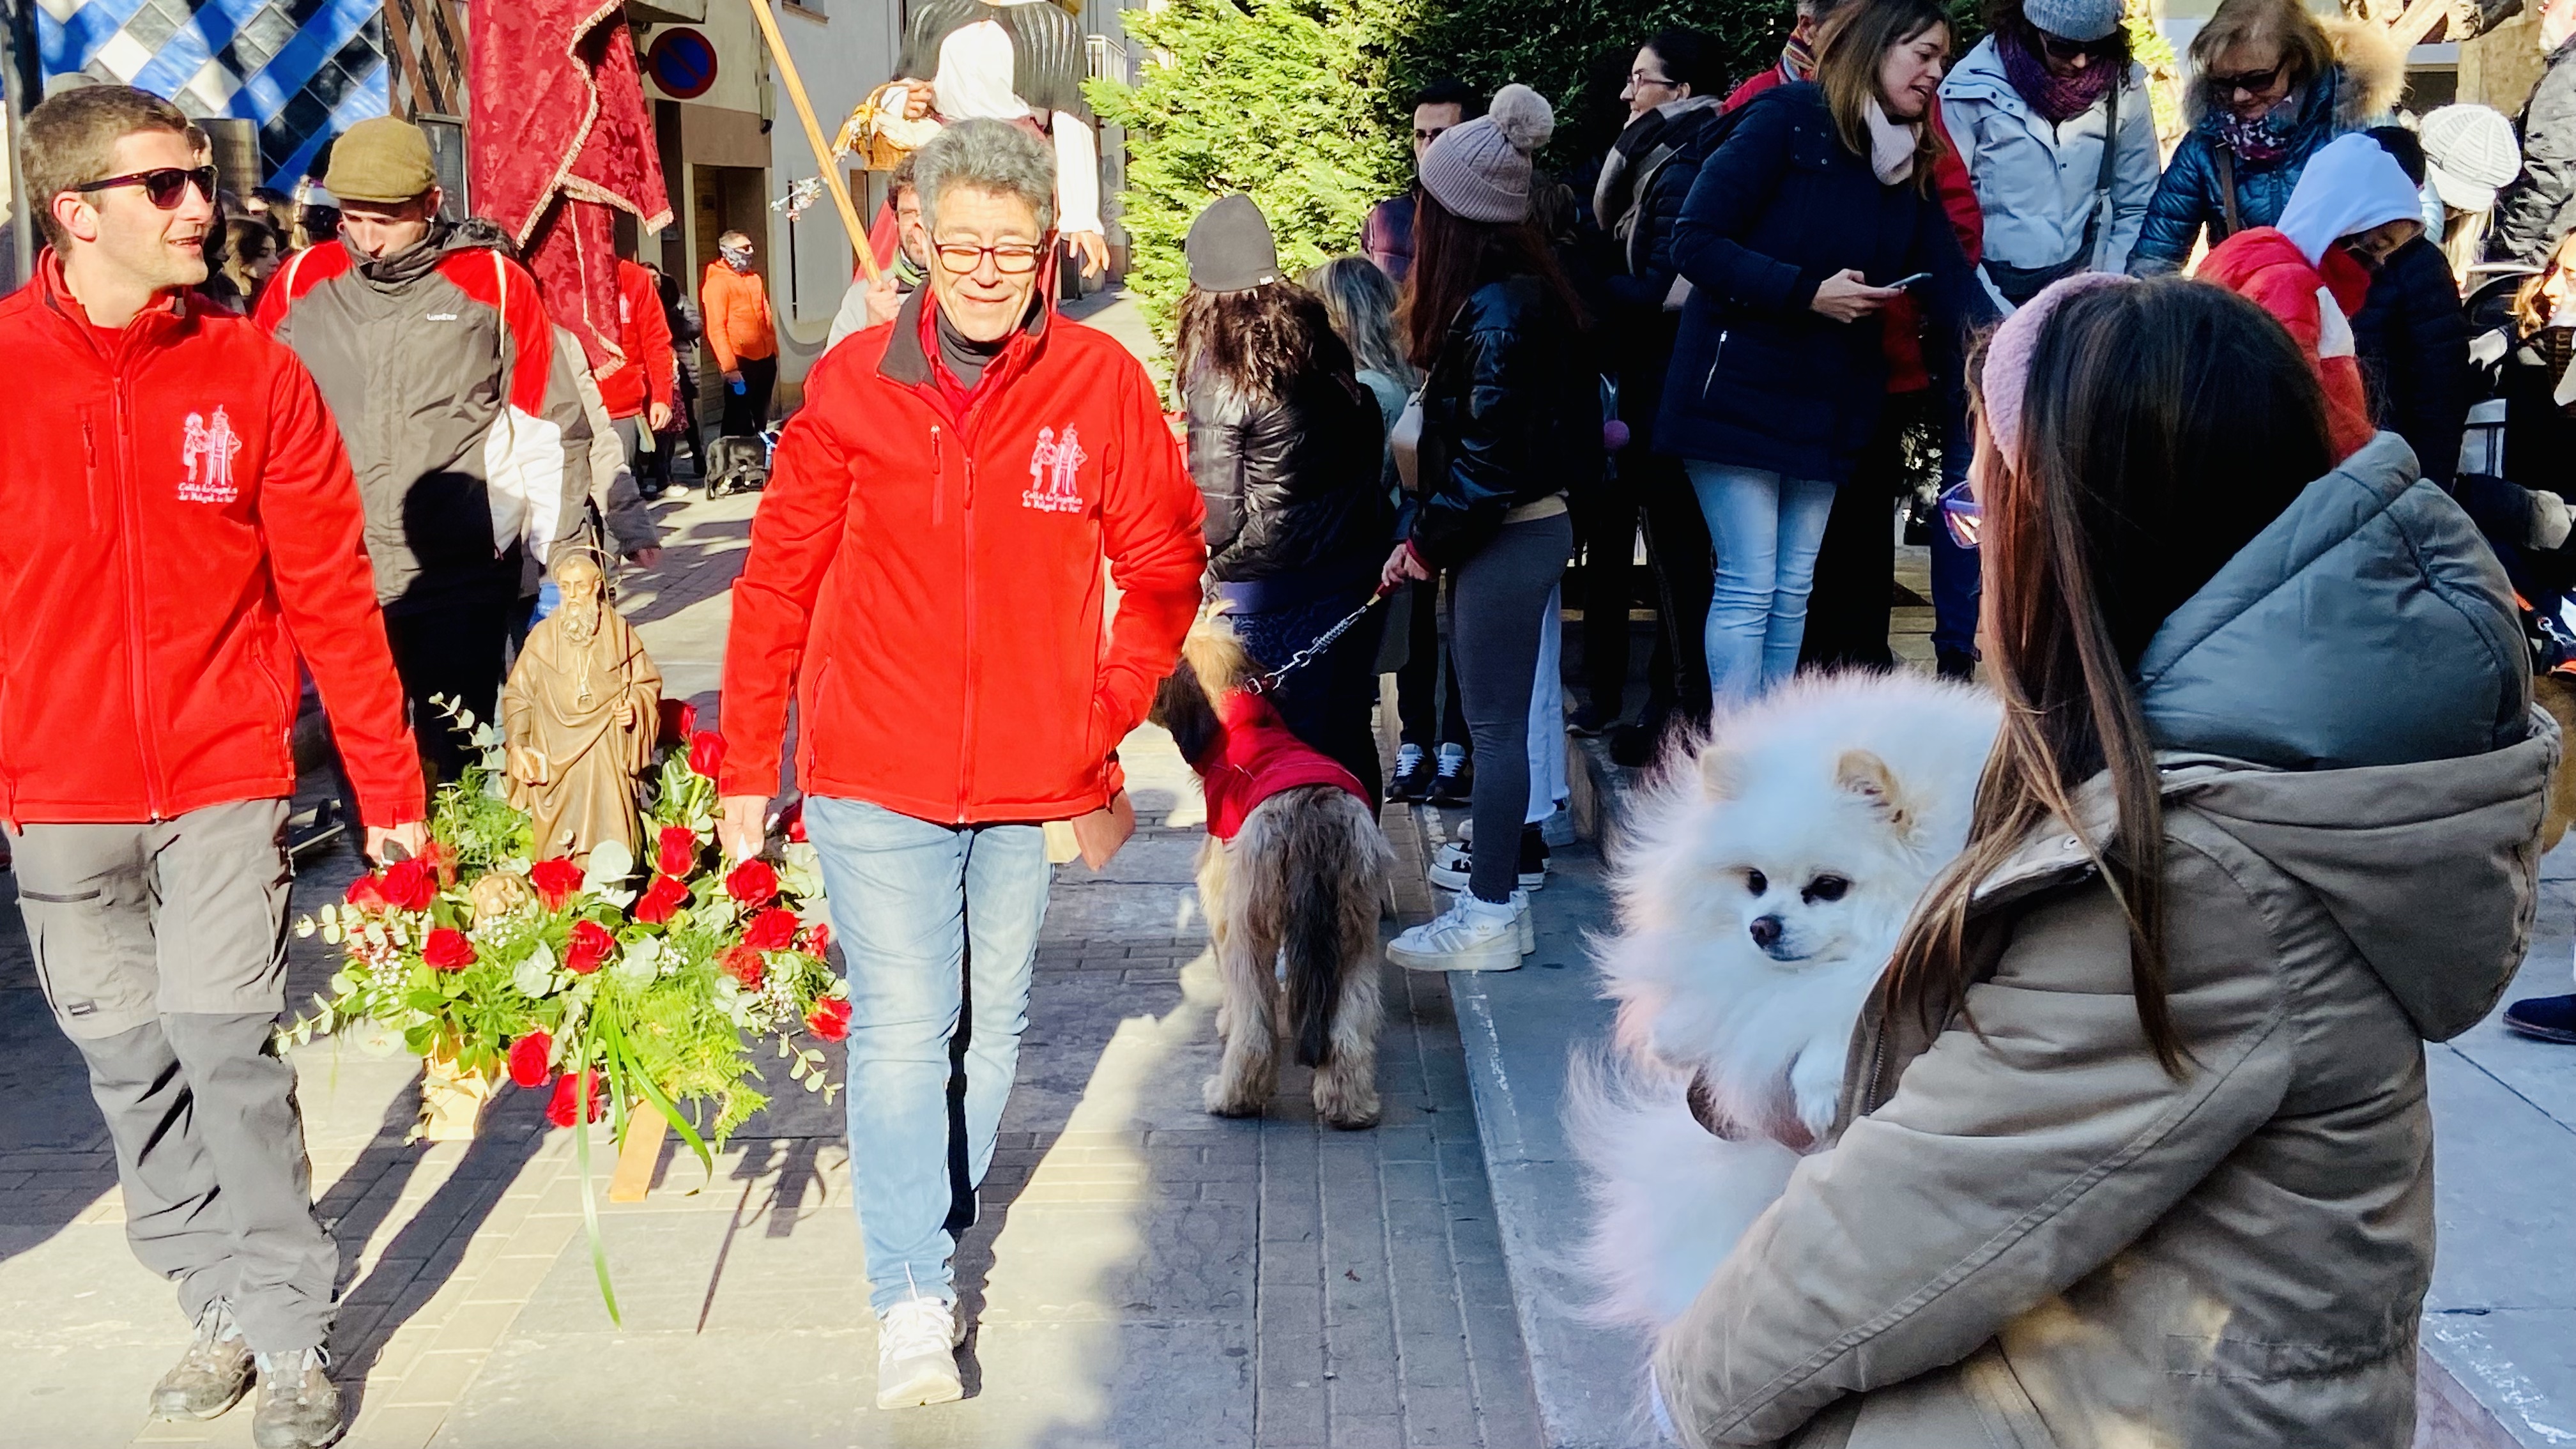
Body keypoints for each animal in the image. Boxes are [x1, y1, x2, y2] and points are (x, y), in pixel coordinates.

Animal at [1566, 670, 2009, 1330]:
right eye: (1755, 881)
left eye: (1827, 887)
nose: (1762, 926)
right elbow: (1731, 1000)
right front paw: (1674, 1035)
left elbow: (1834, 1018)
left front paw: (1821, 1089)